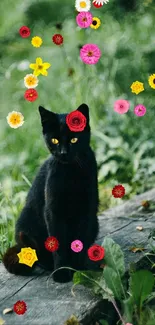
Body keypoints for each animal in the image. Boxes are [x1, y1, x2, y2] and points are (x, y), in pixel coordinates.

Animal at [2, 103, 98, 280]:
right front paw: (61, 272)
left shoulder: (87, 210)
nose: (63, 153)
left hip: (95, 222)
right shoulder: (53, 211)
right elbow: (58, 244)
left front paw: (78, 270)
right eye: (54, 140)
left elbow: (80, 241)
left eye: (74, 139)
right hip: (25, 223)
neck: (71, 173)